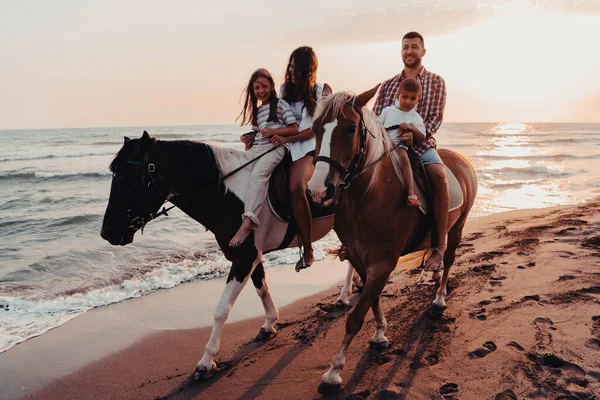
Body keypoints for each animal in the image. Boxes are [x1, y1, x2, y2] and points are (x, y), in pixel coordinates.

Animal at [308, 88, 476, 394]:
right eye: (315, 128)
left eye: (351, 129)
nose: (317, 190)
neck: (370, 193)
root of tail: (461, 159)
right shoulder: (360, 259)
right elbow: (371, 300)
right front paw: (380, 334)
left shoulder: (383, 263)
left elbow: (355, 318)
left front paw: (334, 372)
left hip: (459, 224)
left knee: (448, 258)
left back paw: (439, 298)